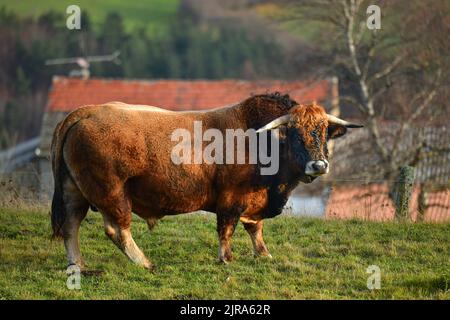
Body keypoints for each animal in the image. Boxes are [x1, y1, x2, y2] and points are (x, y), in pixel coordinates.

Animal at [51, 93, 362, 270]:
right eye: (296, 134)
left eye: (323, 132)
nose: (319, 165)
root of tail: (87, 111)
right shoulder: (231, 199)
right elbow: (227, 229)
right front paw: (226, 258)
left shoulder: (254, 201)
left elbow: (255, 229)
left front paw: (263, 255)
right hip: (111, 192)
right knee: (117, 230)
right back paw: (144, 262)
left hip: (74, 191)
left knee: (71, 226)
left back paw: (77, 264)